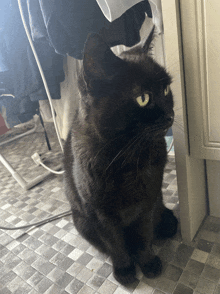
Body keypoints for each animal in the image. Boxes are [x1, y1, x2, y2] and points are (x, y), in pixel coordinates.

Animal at [63, 27, 177, 284]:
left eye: (166, 90)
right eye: (143, 98)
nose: (170, 115)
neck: (128, 158)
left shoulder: (147, 203)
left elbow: (143, 237)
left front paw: (148, 263)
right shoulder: (99, 214)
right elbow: (115, 244)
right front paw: (125, 270)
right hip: (80, 221)